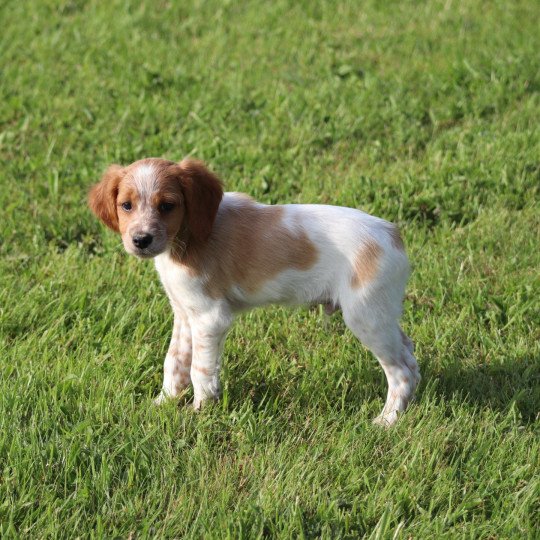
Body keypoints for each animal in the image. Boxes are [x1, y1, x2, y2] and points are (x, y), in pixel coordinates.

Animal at [88, 157, 420, 426]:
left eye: (167, 206)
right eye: (126, 205)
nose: (141, 240)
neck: (186, 239)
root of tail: (393, 234)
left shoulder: (210, 317)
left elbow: (200, 370)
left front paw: (199, 414)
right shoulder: (184, 312)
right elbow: (175, 361)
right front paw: (163, 403)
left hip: (366, 317)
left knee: (400, 372)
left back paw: (387, 420)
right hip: (381, 314)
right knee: (409, 352)